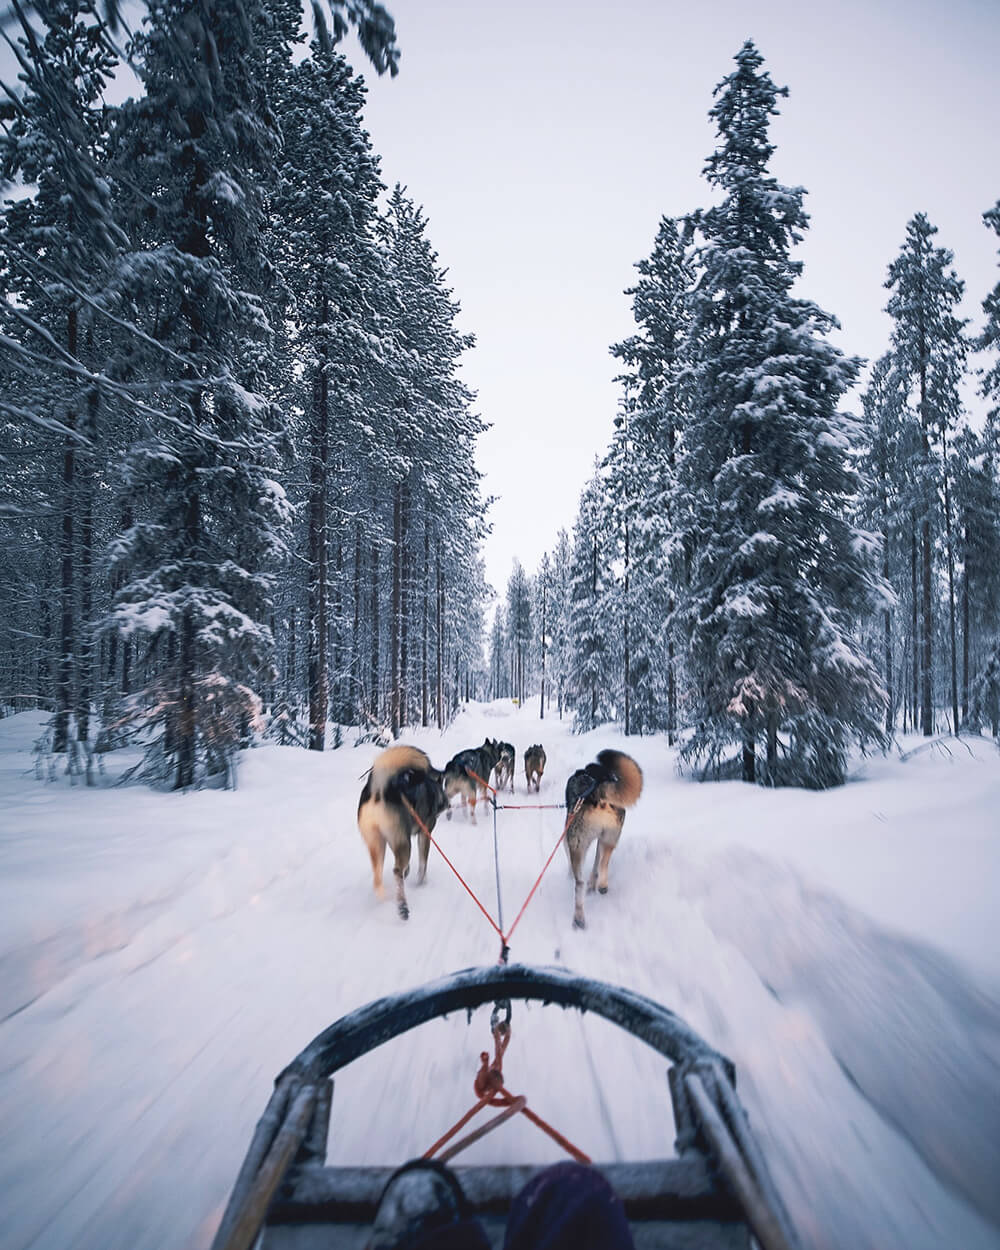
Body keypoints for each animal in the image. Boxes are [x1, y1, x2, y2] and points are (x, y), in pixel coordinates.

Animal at [352, 745, 442, 925]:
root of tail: (380, 790)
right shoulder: (424, 834)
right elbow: (423, 863)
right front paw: (421, 881)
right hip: (403, 842)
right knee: (396, 870)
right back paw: (402, 908)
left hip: (378, 843)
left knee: (378, 875)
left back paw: (384, 896)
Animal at [562, 750, 640, 930]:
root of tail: (597, 794)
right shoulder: (601, 839)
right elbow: (597, 862)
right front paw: (594, 883)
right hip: (611, 837)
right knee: (603, 863)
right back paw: (601, 886)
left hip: (577, 844)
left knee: (579, 883)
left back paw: (578, 918)